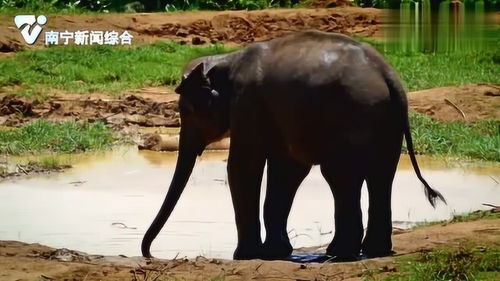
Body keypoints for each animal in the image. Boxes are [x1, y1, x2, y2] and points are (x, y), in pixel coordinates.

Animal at [141, 30, 446, 260]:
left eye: (186, 111)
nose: (149, 253)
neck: (228, 59)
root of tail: (389, 76)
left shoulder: (247, 104)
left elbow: (243, 167)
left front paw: (245, 256)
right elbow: (286, 171)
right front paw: (275, 253)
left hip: (355, 117)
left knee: (341, 176)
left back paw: (339, 253)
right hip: (387, 125)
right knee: (381, 175)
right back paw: (373, 251)